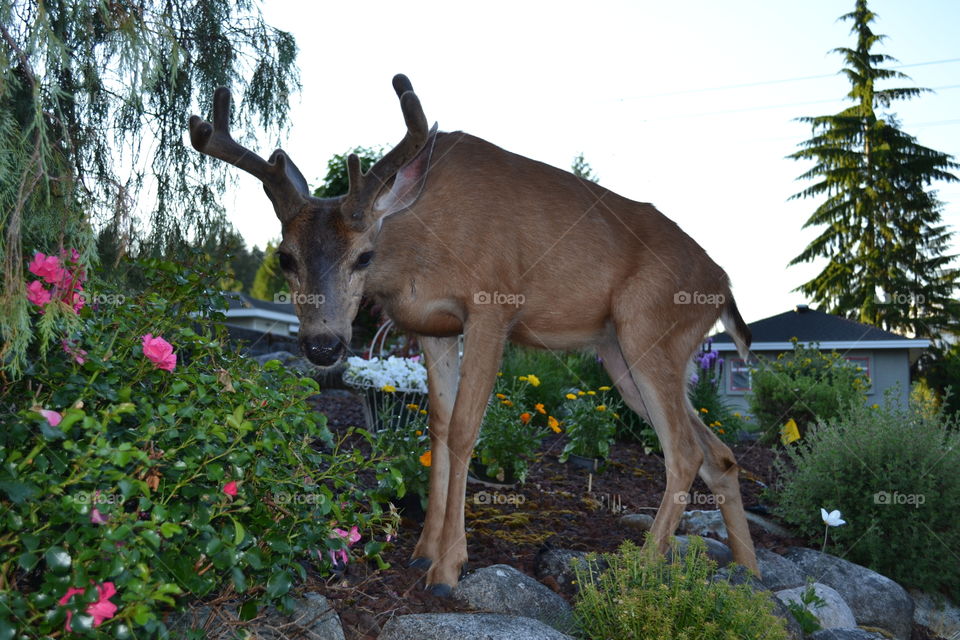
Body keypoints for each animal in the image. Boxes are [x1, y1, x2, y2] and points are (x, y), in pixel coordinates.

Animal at [186, 75, 756, 596]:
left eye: (364, 256)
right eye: (285, 258)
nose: (322, 345)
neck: (420, 244)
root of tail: (723, 284)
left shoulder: (492, 305)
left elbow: (464, 429)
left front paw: (447, 569)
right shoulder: (434, 326)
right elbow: (436, 427)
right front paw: (422, 550)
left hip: (649, 328)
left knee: (683, 452)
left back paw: (641, 568)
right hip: (621, 352)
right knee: (718, 452)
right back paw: (746, 570)